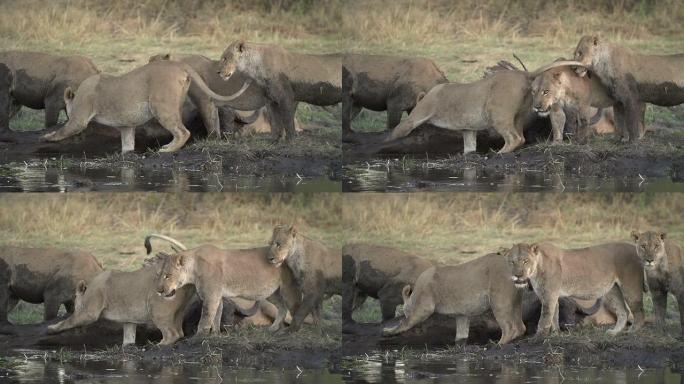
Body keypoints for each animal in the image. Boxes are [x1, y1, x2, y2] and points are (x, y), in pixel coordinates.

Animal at [39, 60, 251, 153]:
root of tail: (178, 64)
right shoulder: (126, 126)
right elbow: (128, 143)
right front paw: (126, 153)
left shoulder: (79, 118)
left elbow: (64, 130)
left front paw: (47, 137)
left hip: (161, 106)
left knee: (183, 131)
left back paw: (167, 149)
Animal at [46, 254, 195, 346]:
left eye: (75, 299)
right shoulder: (129, 320)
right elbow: (128, 337)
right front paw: (127, 345)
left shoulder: (88, 313)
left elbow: (67, 321)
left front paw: (51, 329)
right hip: (178, 311)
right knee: (179, 332)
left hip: (157, 309)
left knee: (172, 334)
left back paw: (158, 345)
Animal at [382, 252, 528, 344]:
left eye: (405, 311)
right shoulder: (462, 315)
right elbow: (461, 334)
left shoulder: (423, 307)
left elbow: (405, 322)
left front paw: (388, 331)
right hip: (516, 302)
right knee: (521, 327)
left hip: (499, 301)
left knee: (510, 327)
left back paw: (498, 344)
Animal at [504, 242, 644, 338]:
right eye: (512, 262)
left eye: (525, 261)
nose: (518, 275)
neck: (535, 270)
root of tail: (634, 248)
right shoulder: (551, 296)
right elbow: (554, 315)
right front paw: (556, 333)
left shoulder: (549, 295)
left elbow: (545, 317)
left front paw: (538, 337)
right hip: (612, 290)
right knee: (623, 311)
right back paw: (614, 332)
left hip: (630, 287)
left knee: (639, 312)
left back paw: (633, 331)